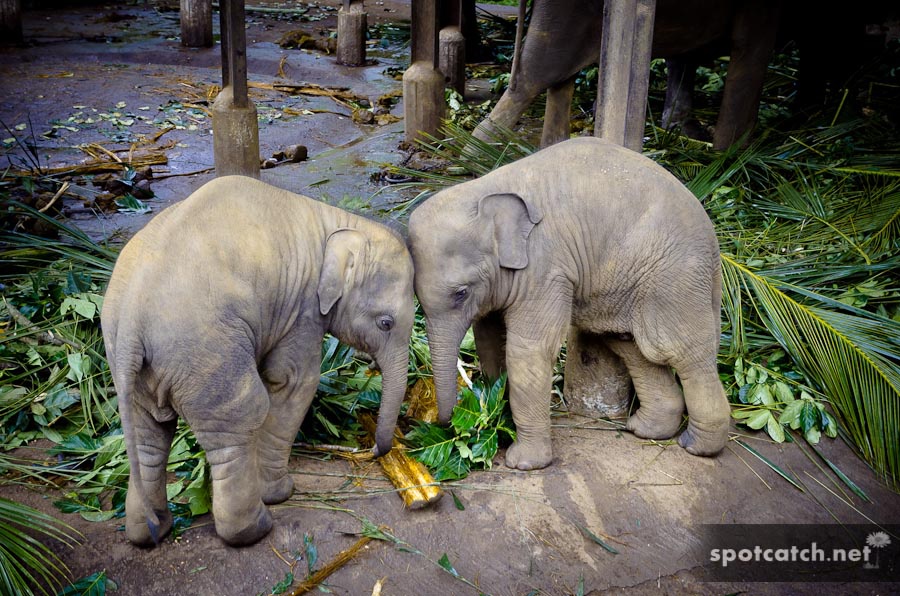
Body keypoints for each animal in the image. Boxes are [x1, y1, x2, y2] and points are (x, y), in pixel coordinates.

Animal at [103, 175, 414, 548]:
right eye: (386, 323)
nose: (376, 451)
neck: (337, 221)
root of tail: (132, 320)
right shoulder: (302, 310)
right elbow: (293, 382)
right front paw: (281, 493)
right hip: (208, 353)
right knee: (240, 419)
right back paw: (254, 529)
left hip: (135, 364)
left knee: (147, 437)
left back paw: (150, 532)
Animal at [408, 137, 732, 472]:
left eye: (461, 293)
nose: (447, 424)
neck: (484, 188)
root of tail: (714, 245)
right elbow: (488, 341)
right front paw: (499, 417)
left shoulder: (546, 269)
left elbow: (529, 350)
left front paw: (523, 463)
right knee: (631, 346)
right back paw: (644, 430)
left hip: (674, 278)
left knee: (679, 352)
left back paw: (696, 446)